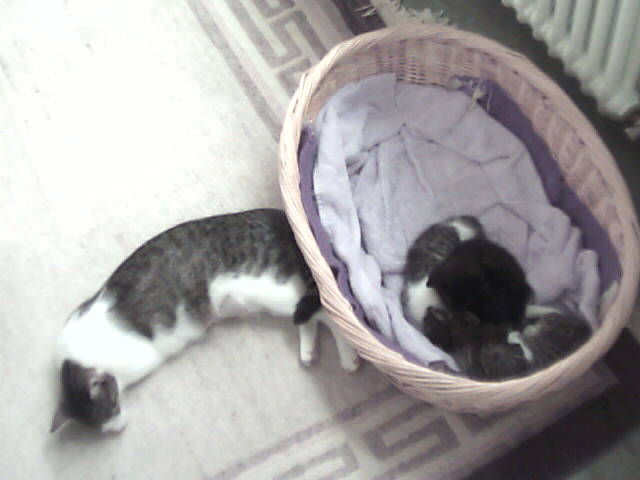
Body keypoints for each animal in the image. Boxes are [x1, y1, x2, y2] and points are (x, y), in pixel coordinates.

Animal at [51, 209, 360, 434]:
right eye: (100, 427)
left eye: (113, 404)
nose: (118, 428)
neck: (79, 355)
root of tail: (285, 221)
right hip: (286, 298)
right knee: (310, 316)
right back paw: (308, 351)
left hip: (278, 290)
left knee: (329, 312)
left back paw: (348, 356)